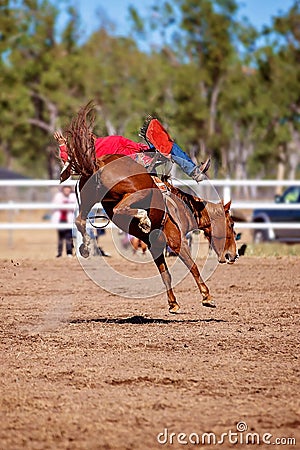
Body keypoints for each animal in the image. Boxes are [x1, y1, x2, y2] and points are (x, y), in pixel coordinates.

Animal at [64, 104, 238, 312]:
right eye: (231, 225)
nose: (234, 255)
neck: (184, 208)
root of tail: (100, 163)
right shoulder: (176, 241)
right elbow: (193, 267)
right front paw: (207, 297)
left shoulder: (155, 246)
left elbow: (166, 274)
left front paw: (173, 304)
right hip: (137, 192)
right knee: (120, 208)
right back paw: (143, 219)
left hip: (89, 197)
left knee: (80, 220)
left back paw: (86, 247)